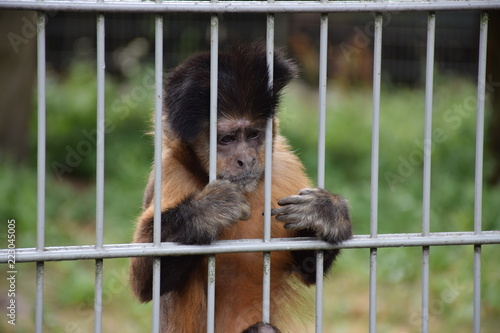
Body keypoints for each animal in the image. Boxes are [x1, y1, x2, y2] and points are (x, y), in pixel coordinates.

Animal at [131, 42, 354, 330]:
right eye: (226, 139)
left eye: (252, 135)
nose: (246, 159)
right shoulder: (170, 171)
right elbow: (144, 282)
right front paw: (207, 211)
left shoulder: (284, 165)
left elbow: (308, 268)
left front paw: (326, 213)